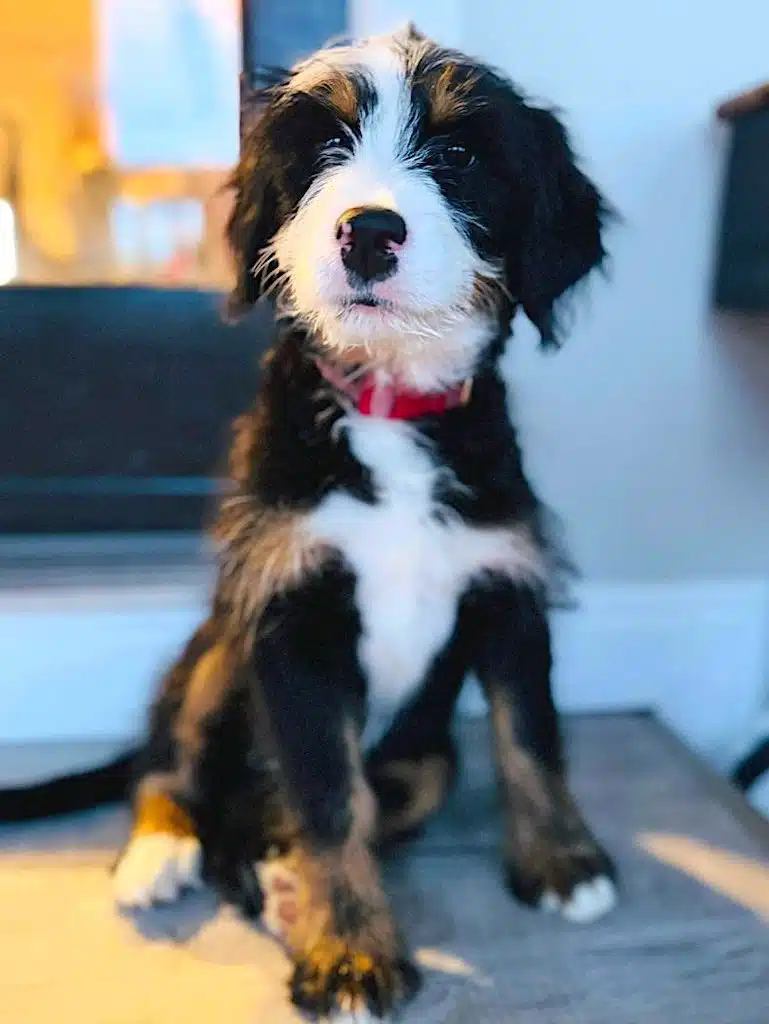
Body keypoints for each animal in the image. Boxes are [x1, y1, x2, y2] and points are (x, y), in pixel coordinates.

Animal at [9, 25, 618, 1024]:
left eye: (458, 155)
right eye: (326, 147)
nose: (368, 231)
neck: (387, 404)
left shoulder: (505, 584)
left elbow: (528, 736)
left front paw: (561, 862)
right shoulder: (291, 615)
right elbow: (327, 796)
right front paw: (349, 953)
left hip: (421, 750)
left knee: (340, 800)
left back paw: (266, 871)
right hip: (217, 649)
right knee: (169, 767)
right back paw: (164, 851)